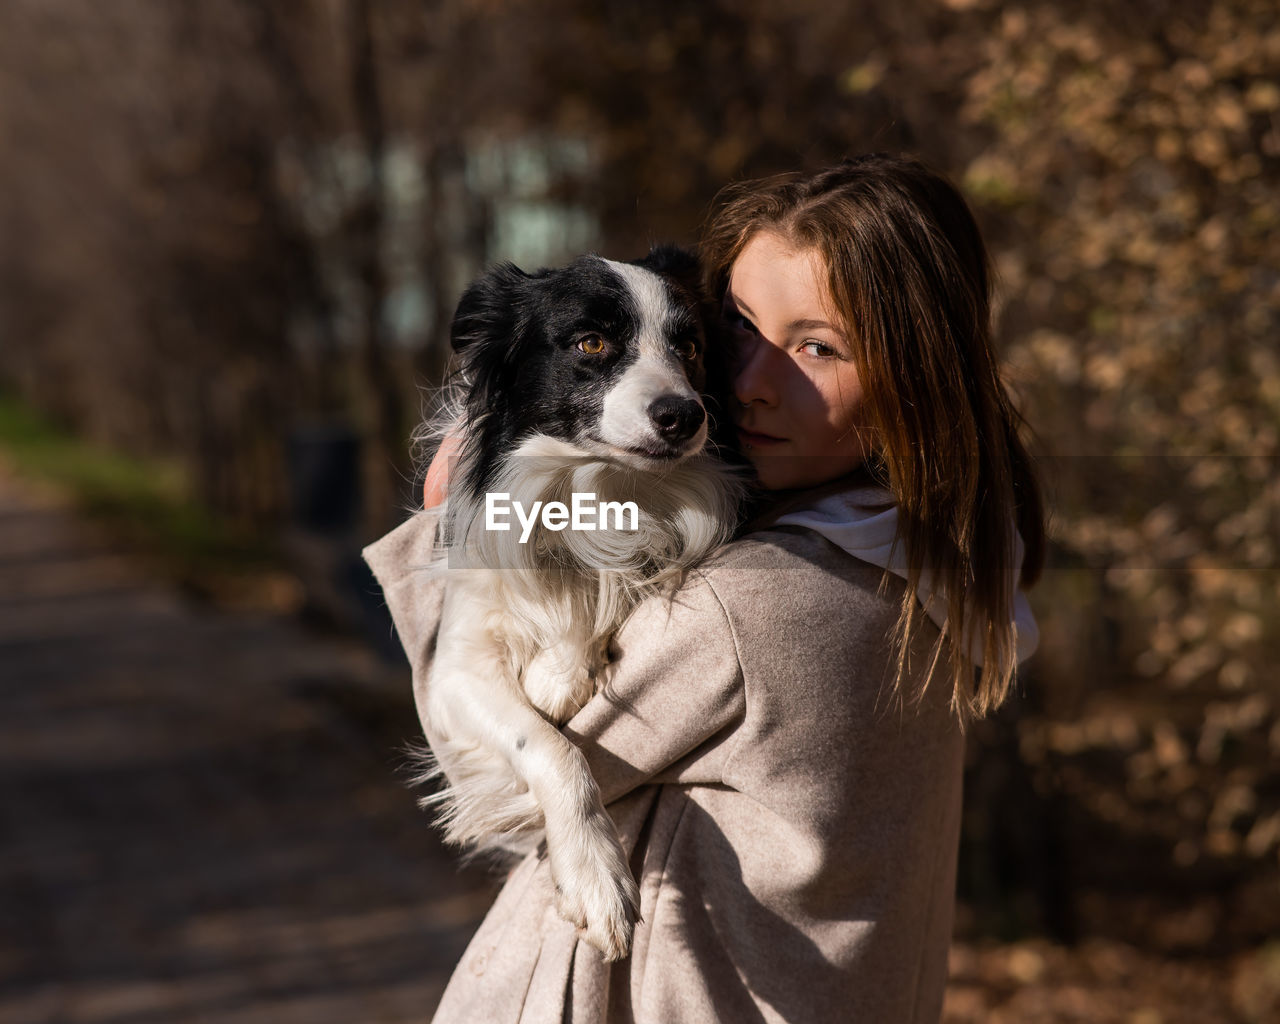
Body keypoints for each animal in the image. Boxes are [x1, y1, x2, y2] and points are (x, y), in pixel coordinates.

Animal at [417, 245, 742, 962]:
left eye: (690, 348)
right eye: (591, 342)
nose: (684, 414)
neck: (595, 488)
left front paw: (557, 673)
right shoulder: (452, 672)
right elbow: (549, 746)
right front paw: (596, 876)